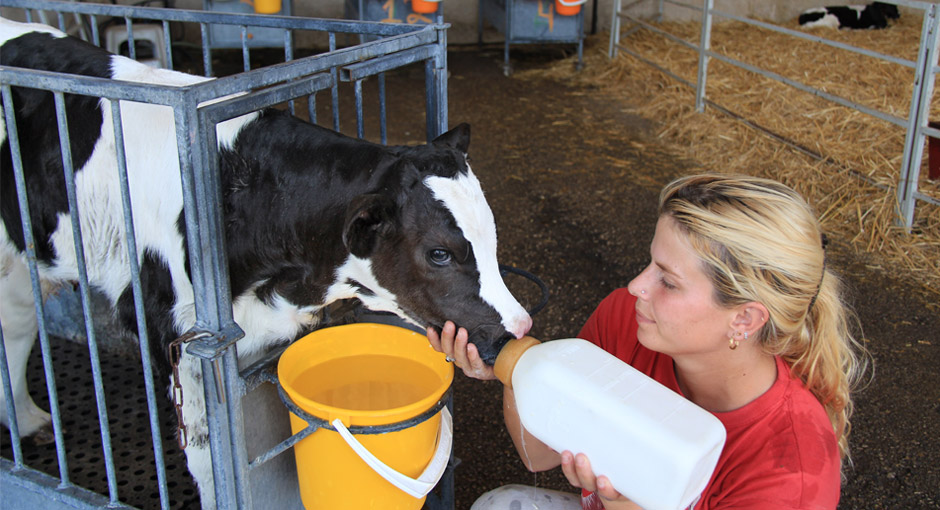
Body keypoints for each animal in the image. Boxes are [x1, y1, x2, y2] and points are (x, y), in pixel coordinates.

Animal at [0, 17, 528, 508]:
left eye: (492, 235)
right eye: (439, 253)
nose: (519, 328)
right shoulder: (173, 333)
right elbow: (207, 457)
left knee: (17, 327)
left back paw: (27, 420)